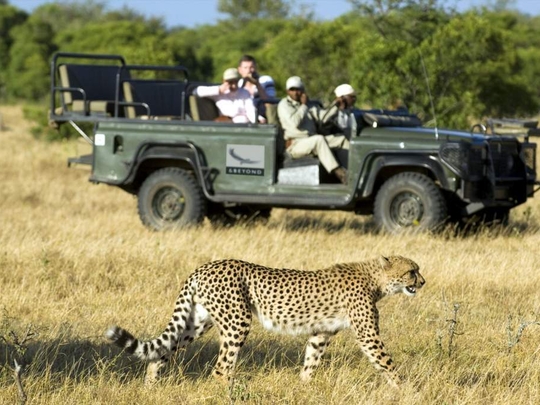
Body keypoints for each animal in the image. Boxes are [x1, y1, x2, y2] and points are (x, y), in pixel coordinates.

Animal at [106, 256, 426, 386]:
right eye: (412, 271)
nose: (423, 282)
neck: (376, 279)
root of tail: (205, 266)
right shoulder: (368, 335)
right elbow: (387, 363)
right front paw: (408, 390)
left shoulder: (320, 333)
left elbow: (311, 361)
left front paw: (303, 386)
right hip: (237, 321)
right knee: (221, 369)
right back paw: (232, 393)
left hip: (197, 322)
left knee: (161, 353)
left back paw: (150, 387)